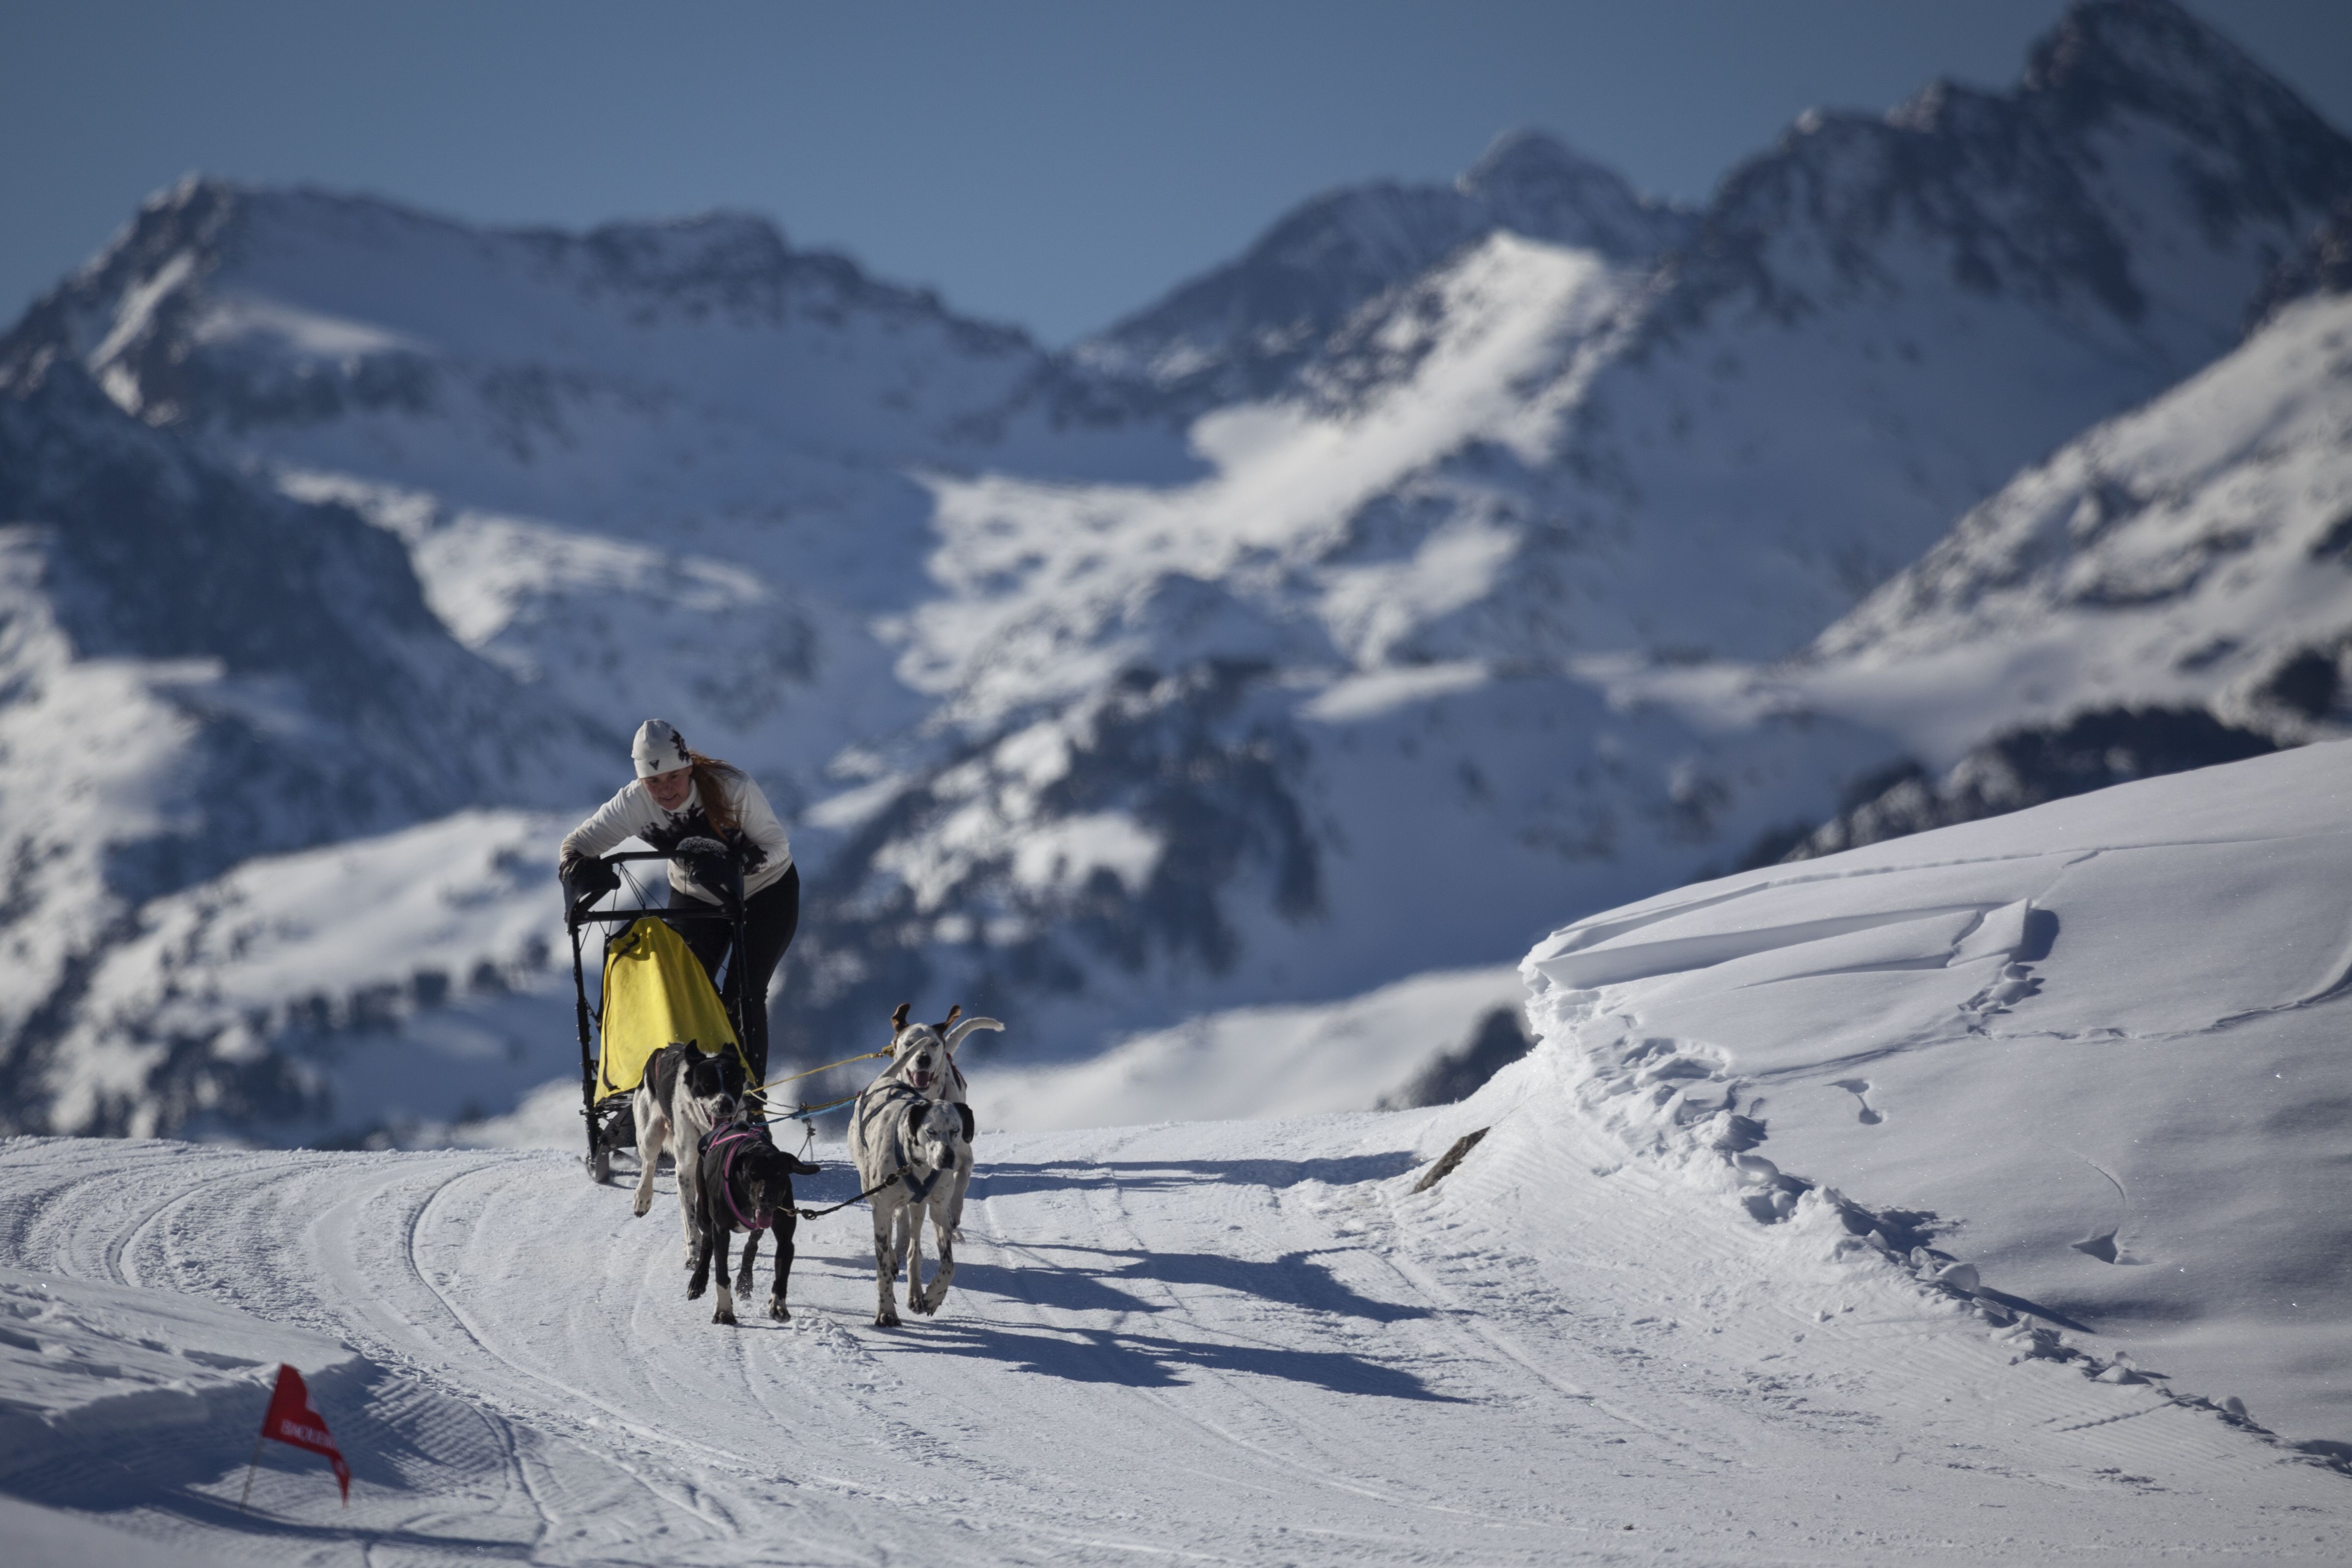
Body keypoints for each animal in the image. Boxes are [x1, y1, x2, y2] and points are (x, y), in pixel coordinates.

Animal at [630, 1048, 738, 1269]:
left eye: (734, 1083)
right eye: (708, 1085)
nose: (726, 1105)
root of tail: (660, 1051)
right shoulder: (686, 1169)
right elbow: (690, 1215)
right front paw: (694, 1254)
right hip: (650, 1135)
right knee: (649, 1164)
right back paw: (642, 1198)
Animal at [686, 1124, 823, 1335]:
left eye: (779, 1174)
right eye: (752, 1174)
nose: (766, 1198)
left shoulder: (785, 1237)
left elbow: (781, 1275)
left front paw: (778, 1306)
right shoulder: (721, 1230)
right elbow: (721, 1274)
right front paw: (724, 1311)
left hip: (757, 1227)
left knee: (751, 1246)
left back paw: (745, 1281)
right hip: (703, 1212)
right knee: (707, 1240)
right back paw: (698, 1281)